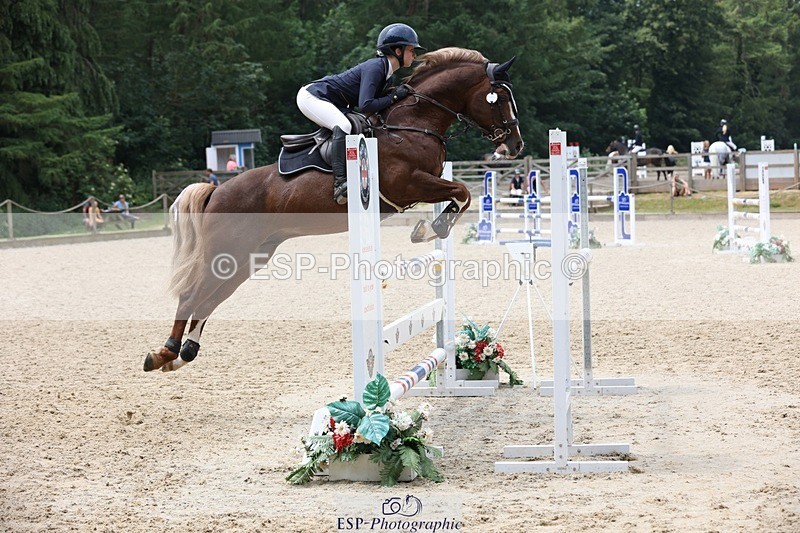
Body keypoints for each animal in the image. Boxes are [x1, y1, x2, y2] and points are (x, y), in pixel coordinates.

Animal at [143, 47, 525, 373]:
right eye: (501, 98)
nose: (515, 145)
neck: (413, 121)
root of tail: (216, 192)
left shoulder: (420, 186)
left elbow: (461, 195)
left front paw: (428, 228)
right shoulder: (409, 185)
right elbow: (462, 193)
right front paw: (430, 230)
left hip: (249, 256)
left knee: (211, 298)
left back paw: (184, 353)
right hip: (226, 251)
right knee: (192, 294)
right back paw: (164, 352)